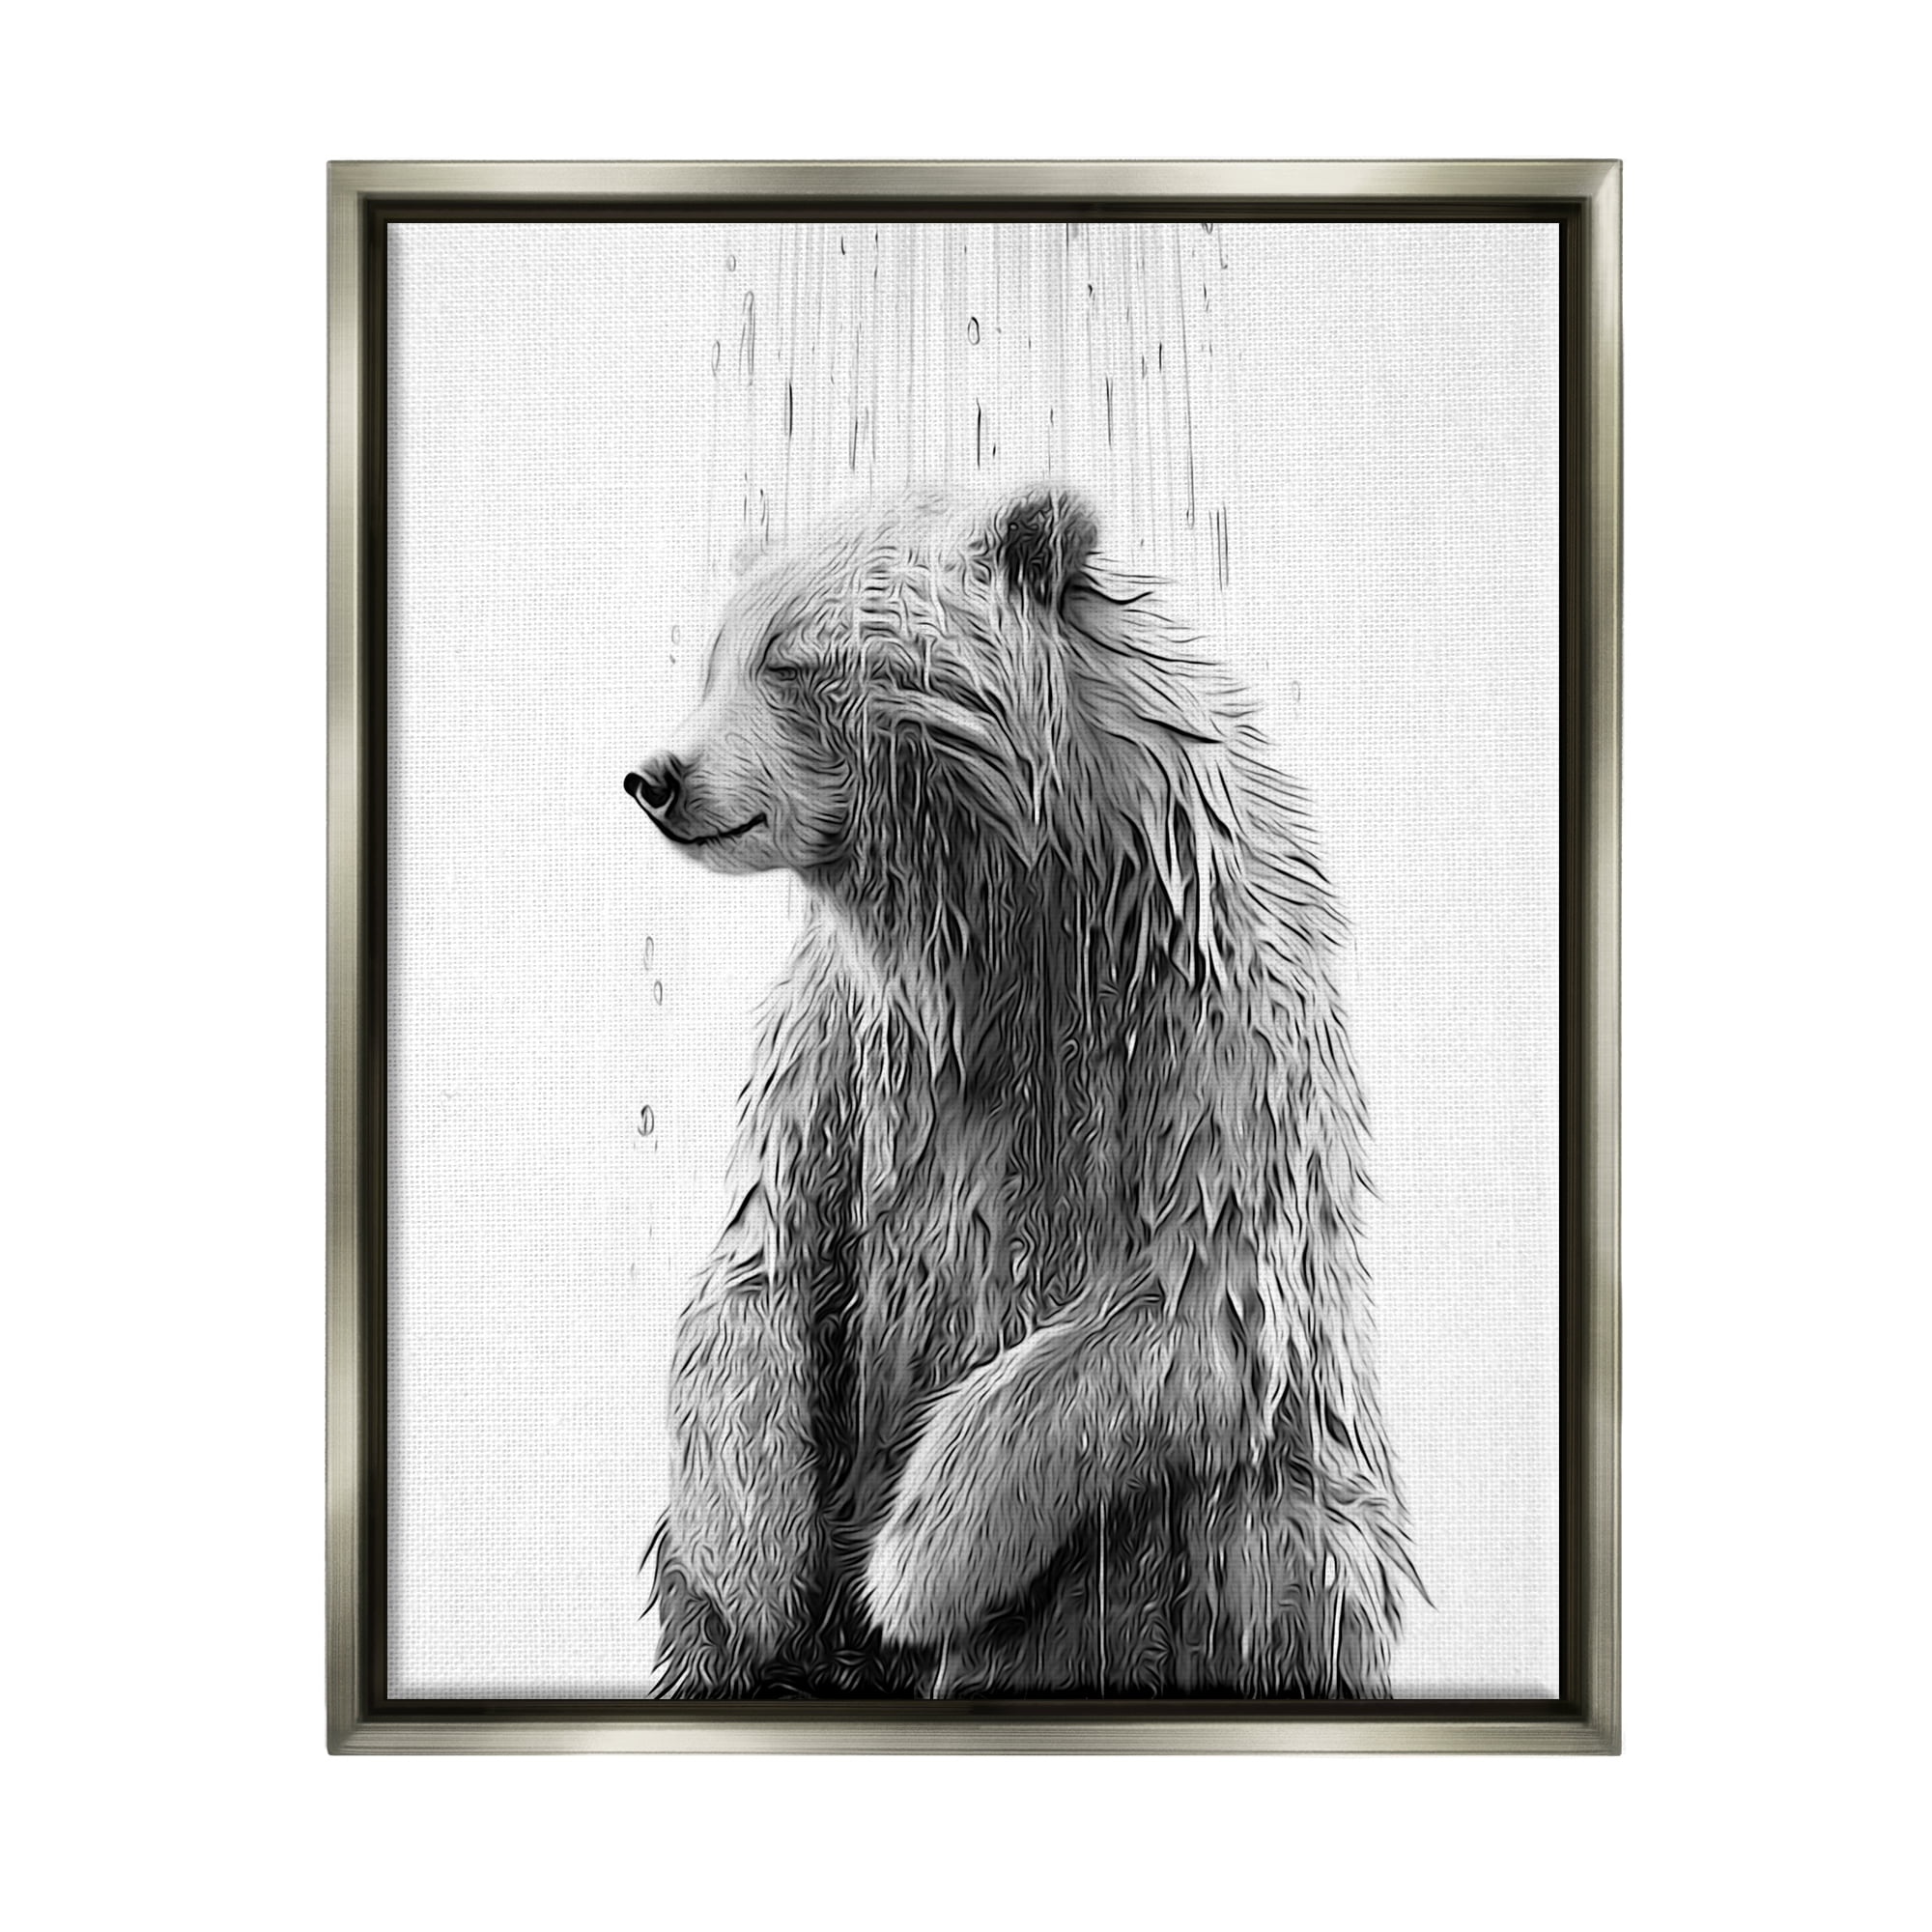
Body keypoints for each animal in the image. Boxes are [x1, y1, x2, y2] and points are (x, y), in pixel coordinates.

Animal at [624, 486, 1416, 1699]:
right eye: (711, 657)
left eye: (793, 660)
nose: (657, 774)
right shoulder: (851, 1039)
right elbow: (761, 1259)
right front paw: (756, 1573)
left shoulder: (1199, 1018)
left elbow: (1186, 1300)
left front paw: (908, 1565)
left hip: (1269, 1518)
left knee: (1261, 1547)